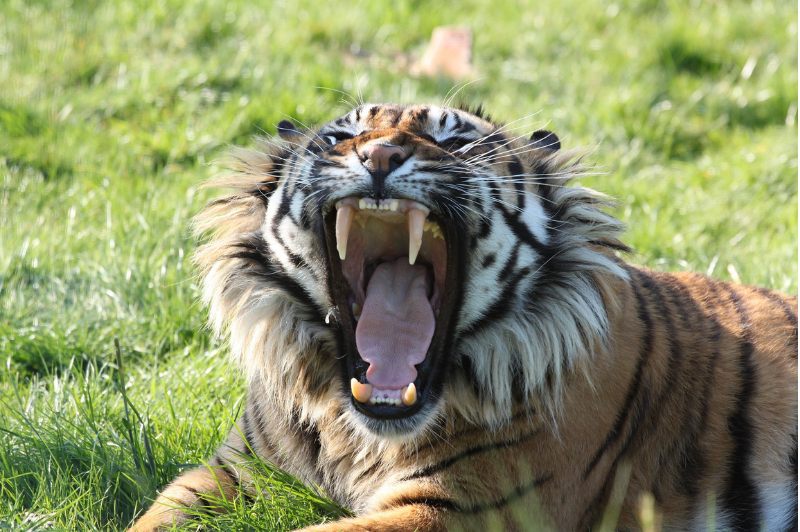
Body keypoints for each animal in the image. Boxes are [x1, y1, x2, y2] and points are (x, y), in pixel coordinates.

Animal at [128, 104, 796, 532]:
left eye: (455, 143)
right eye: (338, 137)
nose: (379, 154)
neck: (355, 434)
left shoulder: (463, 506)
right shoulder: (230, 470)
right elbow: (153, 517)